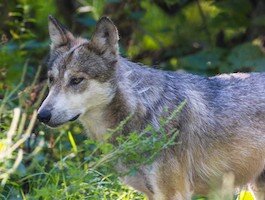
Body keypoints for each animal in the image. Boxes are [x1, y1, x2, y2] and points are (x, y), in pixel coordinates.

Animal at [37, 16, 265, 200]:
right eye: (51, 80)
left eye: (76, 80)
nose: (42, 115)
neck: (143, 111)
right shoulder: (151, 193)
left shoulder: (173, 193)